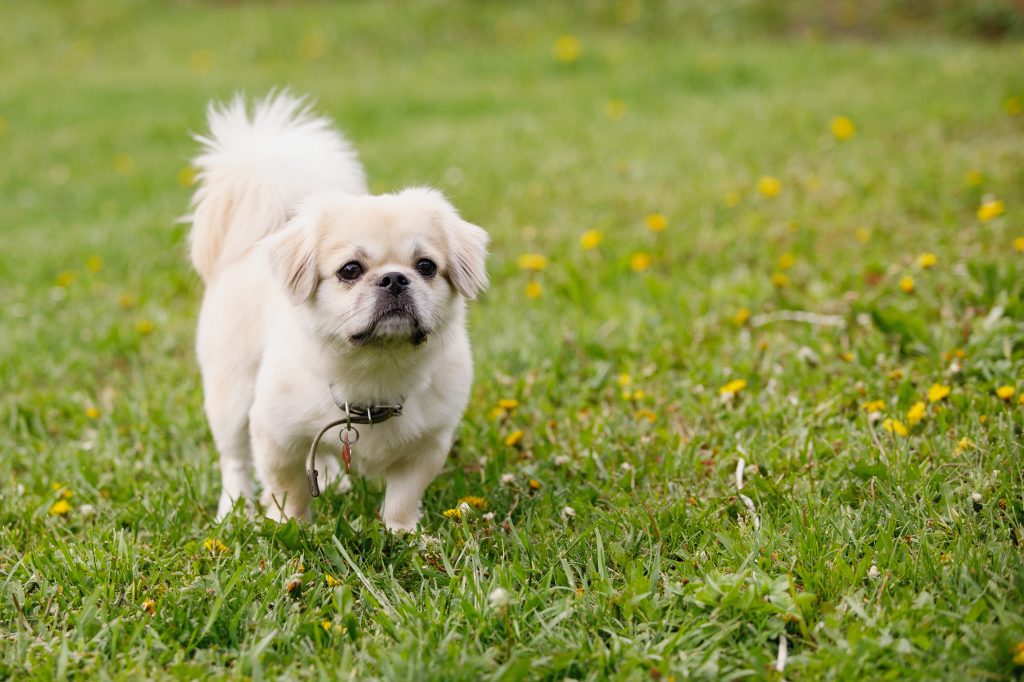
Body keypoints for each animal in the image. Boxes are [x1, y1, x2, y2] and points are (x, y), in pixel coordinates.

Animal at [185, 90, 487, 528]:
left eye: (426, 266)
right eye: (350, 270)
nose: (394, 278)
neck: (375, 374)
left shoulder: (428, 445)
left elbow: (402, 495)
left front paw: (402, 532)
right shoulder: (273, 434)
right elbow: (287, 488)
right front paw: (291, 527)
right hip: (232, 393)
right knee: (234, 460)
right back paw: (233, 507)